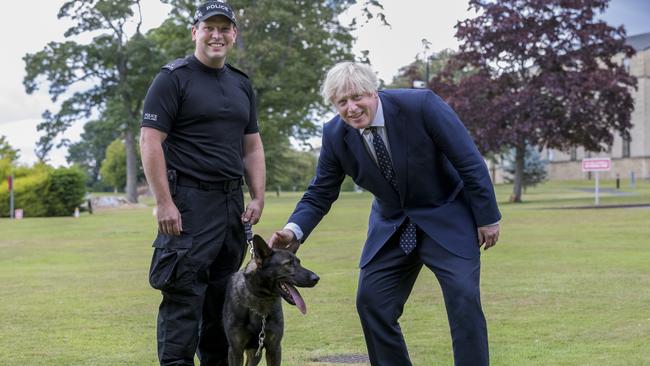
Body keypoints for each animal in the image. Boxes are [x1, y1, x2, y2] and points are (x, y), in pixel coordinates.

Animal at [223, 234, 318, 366]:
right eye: (288, 264)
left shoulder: (274, 348)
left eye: (299, 262)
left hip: (255, 353)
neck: (260, 302)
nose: (316, 278)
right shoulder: (236, 351)